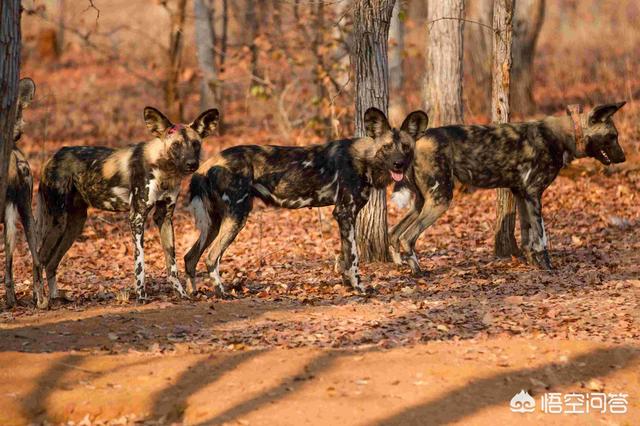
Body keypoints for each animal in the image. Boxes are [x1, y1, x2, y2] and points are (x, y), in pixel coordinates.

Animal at [36, 106, 220, 300]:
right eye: (176, 145)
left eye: (195, 144)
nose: (192, 164)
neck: (164, 169)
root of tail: (53, 157)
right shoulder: (137, 217)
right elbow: (140, 264)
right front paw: (141, 296)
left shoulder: (164, 217)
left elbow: (172, 265)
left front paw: (182, 294)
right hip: (58, 222)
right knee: (39, 258)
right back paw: (41, 301)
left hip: (74, 226)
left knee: (51, 263)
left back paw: (56, 298)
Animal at [182, 107, 428, 296]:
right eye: (386, 148)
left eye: (406, 148)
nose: (398, 164)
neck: (365, 160)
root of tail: (208, 163)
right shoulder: (344, 212)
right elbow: (354, 257)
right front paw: (359, 288)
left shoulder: (345, 215)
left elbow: (344, 256)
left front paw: (348, 285)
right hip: (237, 216)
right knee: (211, 257)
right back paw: (222, 293)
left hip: (214, 223)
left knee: (190, 257)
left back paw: (193, 293)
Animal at [390, 101, 624, 272]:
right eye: (612, 136)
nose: (623, 158)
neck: (565, 135)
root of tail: (417, 140)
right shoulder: (534, 194)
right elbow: (541, 237)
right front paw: (548, 267)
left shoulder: (522, 194)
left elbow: (527, 236)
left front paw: (533, 263)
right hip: (440, 200)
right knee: (407, 237)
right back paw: (418, 271)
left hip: (421, 202)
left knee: (394, 233)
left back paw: (400, 264)